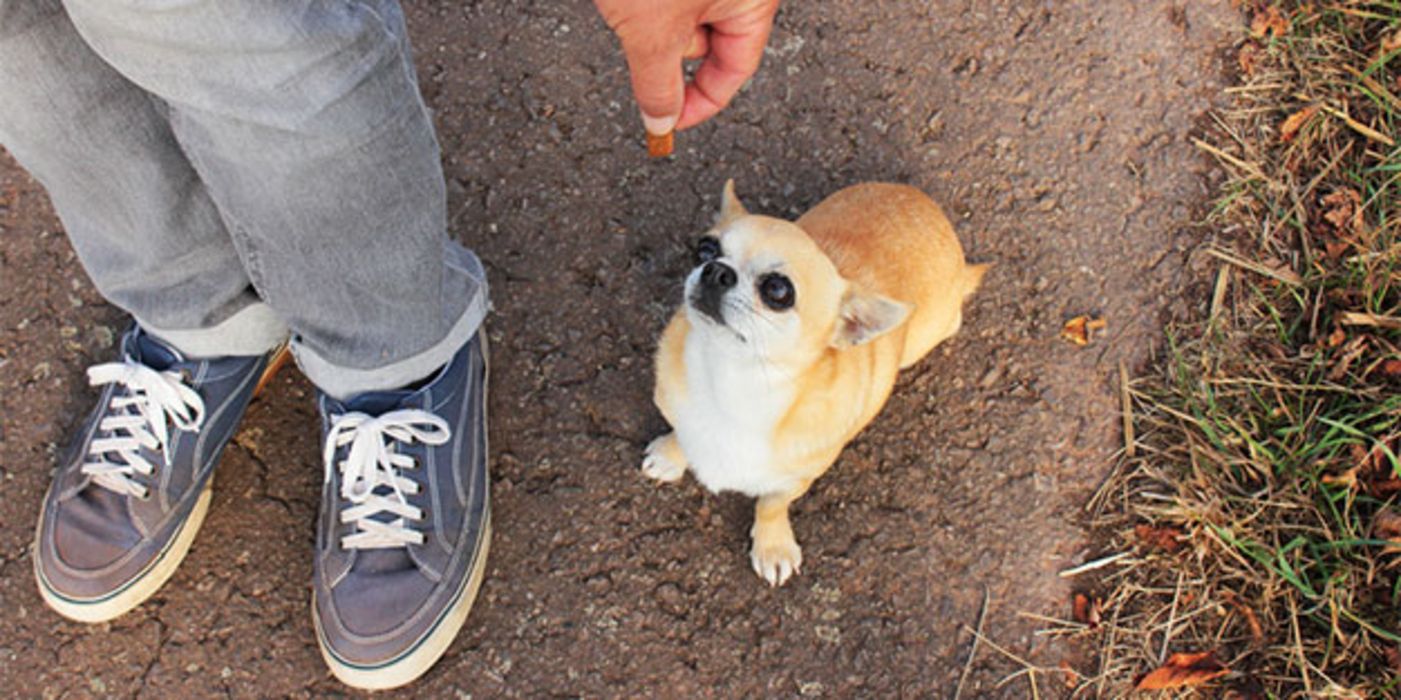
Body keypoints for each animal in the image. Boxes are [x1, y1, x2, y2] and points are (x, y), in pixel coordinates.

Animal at [644, 180, 986, 585]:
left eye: (778, 291)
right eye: (705, 248)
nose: (715, 270)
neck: (733, 380)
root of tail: (933, 213)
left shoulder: (795, 479)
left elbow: (771, 505)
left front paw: (772, 545)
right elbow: (682, 433)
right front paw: (671, 453)